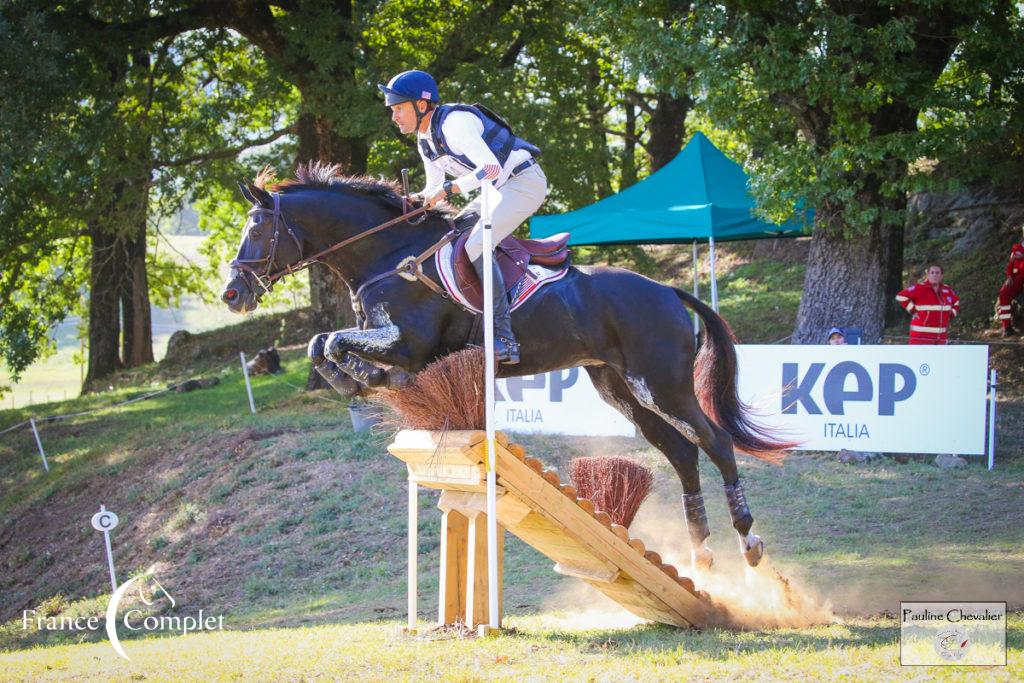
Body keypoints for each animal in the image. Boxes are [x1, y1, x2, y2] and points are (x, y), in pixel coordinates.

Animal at [222, 162, 790, 569]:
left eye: (258, 230)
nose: (231, 294)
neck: (389, 256)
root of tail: (669, 291)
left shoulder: (406, 344)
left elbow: (333, 341)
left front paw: (363, 378)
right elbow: (321, 343)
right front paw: (359, 381)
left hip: (663, 383)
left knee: (715, 441)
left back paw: (748, 540)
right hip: (620, 388)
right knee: (681, 452)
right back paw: (701, 551)